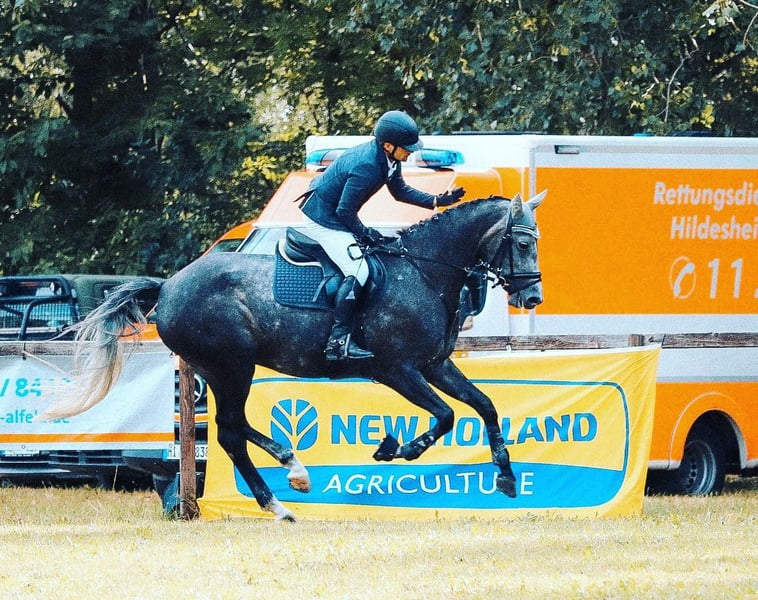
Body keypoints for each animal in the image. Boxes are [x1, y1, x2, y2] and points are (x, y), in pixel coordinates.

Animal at [41, 191, 546, 521]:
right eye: (523, 243)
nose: (533, 297)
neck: (424, 271)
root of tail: (167, 287)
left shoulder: (434, 365)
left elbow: (484, 405)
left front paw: (506, 477)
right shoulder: (396, 370)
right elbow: (445, 416)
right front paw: (396, 448)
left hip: (222, 370)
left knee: (232, 429)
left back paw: (286, 482)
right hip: (232, 366)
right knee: (229, 431)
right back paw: (284, 490)